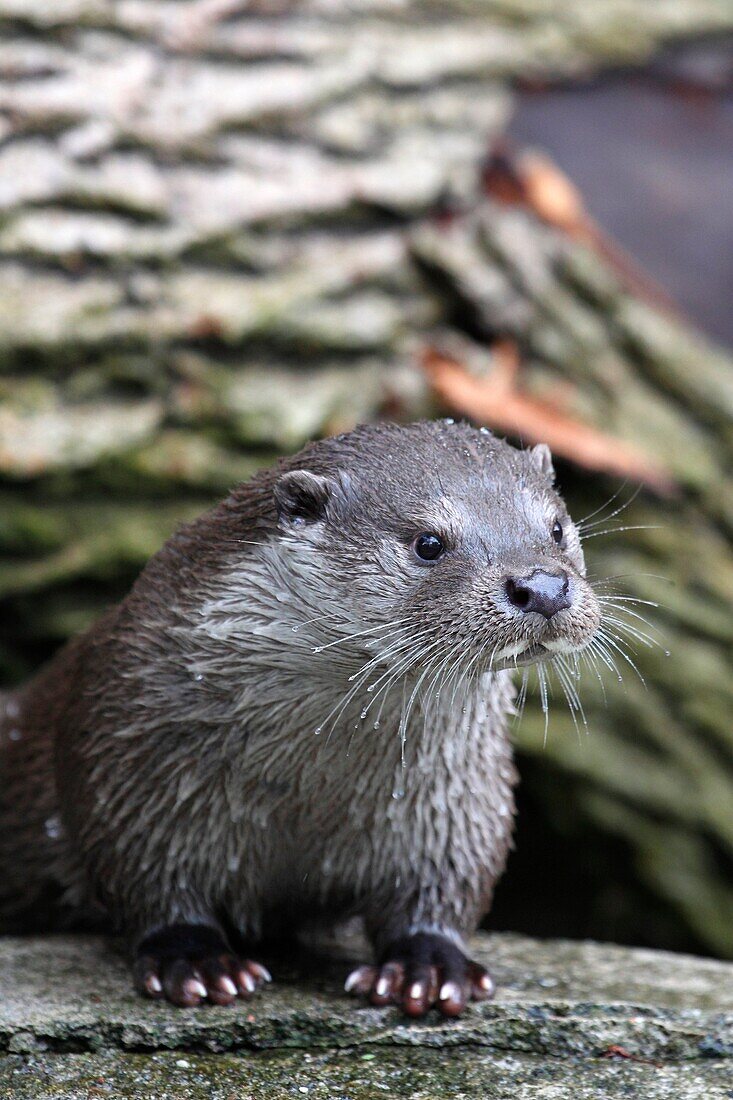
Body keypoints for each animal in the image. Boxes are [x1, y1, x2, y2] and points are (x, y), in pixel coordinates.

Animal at [0, 418, 598, 1012]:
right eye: (428, 543)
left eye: (556, 529)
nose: (543, 586)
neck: (307, 791)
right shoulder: (126, 750)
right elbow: (144, 873)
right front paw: (193, 959)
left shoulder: (459, 801)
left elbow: (446, 882)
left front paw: (426, 965)